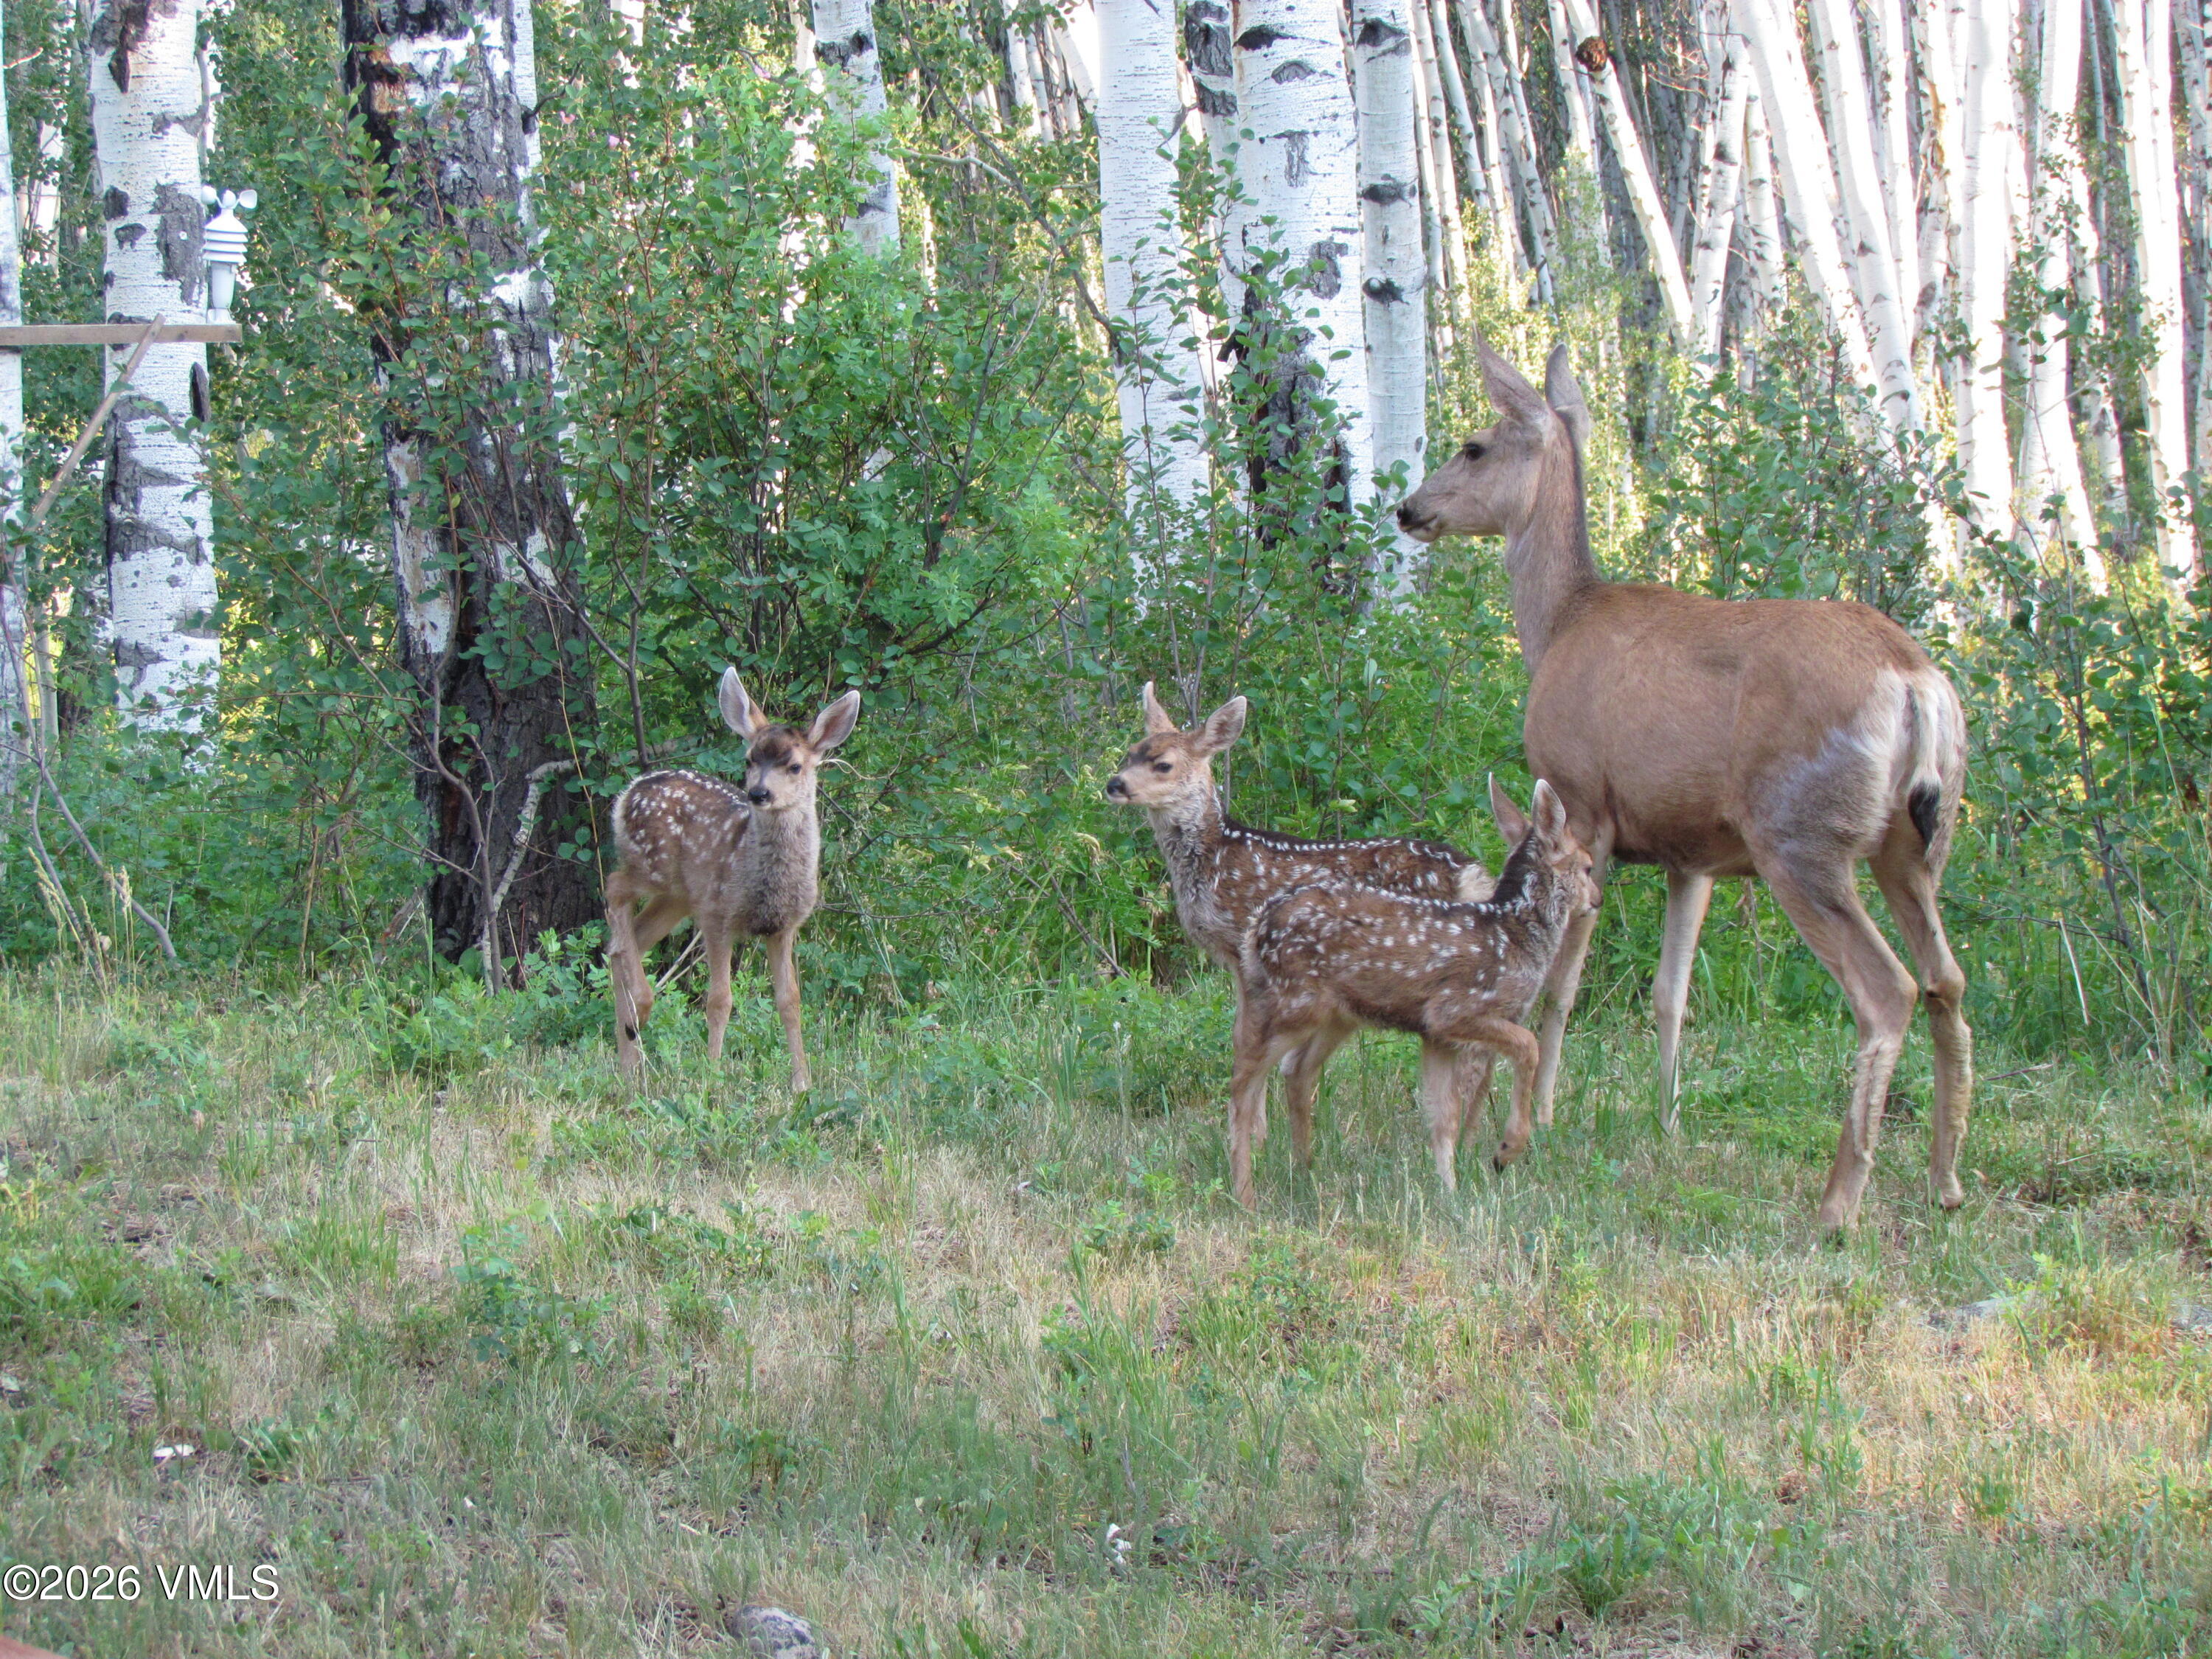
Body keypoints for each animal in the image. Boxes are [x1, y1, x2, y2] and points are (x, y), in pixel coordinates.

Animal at [605, 669, 861, 1090]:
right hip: (653, 865)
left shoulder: (784, 926)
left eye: (795, 766)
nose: (758, 793)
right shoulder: (716, 914)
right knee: (614, 890)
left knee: (624, 943)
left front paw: (802, 1083)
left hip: (677, 896)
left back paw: (630, 1062)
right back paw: (640, 1009)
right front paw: (712, 1076)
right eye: (749, 759)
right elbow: (719, 1000)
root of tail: (628, 792)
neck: (764, 881)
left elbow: (790, 1002)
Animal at [1103, 681, 1496, 1188]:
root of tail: (1473, 876)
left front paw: (1255, 1138)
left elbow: (1242, 1037)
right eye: (1130, 752)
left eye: (1164, 764)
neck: (1213, 861)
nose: (1115, 784)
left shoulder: (1245, 945)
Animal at [1233, 779, 1601, 1204]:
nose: (1597, 899)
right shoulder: (1456, 1010)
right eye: (1588, 866)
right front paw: (1506, 1151)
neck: (1513, 937)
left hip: (1337, 1015)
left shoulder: (1437, 1036)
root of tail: (1256, 928)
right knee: (1243, 1078)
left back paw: (1304, 1171)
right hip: (1294, 1002)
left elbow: (1444, 1117)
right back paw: (1245, 1193)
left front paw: (1450, 1193)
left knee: (1293, 1070)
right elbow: (1529, 1046)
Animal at [1395, 340, 1973, 1231]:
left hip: (1800, 836)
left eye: (1474, 446)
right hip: (1913, 846)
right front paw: (1667, 1118)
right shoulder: (1691, 853)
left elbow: (1562, 983)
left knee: (1890, 990)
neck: (1559, 624)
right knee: (1948, 980)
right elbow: (1671, 991)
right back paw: (1945, 1181)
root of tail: (1917, 685)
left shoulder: (1583, 804)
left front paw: (1538, 1121)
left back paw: (1839, 1202)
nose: (1408, 508)